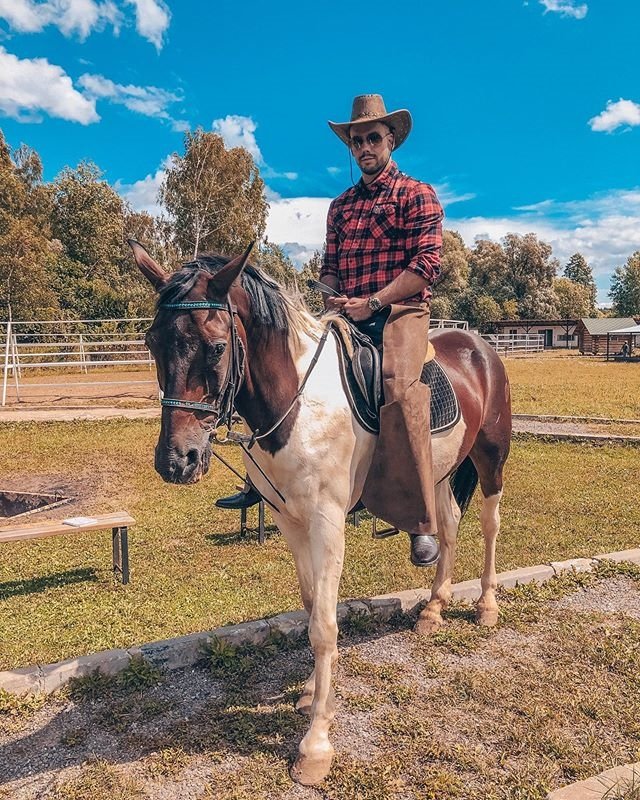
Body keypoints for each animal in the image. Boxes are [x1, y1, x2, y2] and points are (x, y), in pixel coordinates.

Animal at [129, 241, 510, 784]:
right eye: (152, 341)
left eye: (217, 347)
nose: (175, 461)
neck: (298, 401)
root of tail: (478, 345)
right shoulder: (291, 519)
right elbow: (312, 608)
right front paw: (312, 691)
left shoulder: (328, 522)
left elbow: (325, 626)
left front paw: (315, 745)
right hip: (438, 471)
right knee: (449, 528)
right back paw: (434, 608)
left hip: (491, 455)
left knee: (490, 525)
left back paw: (486, 606)